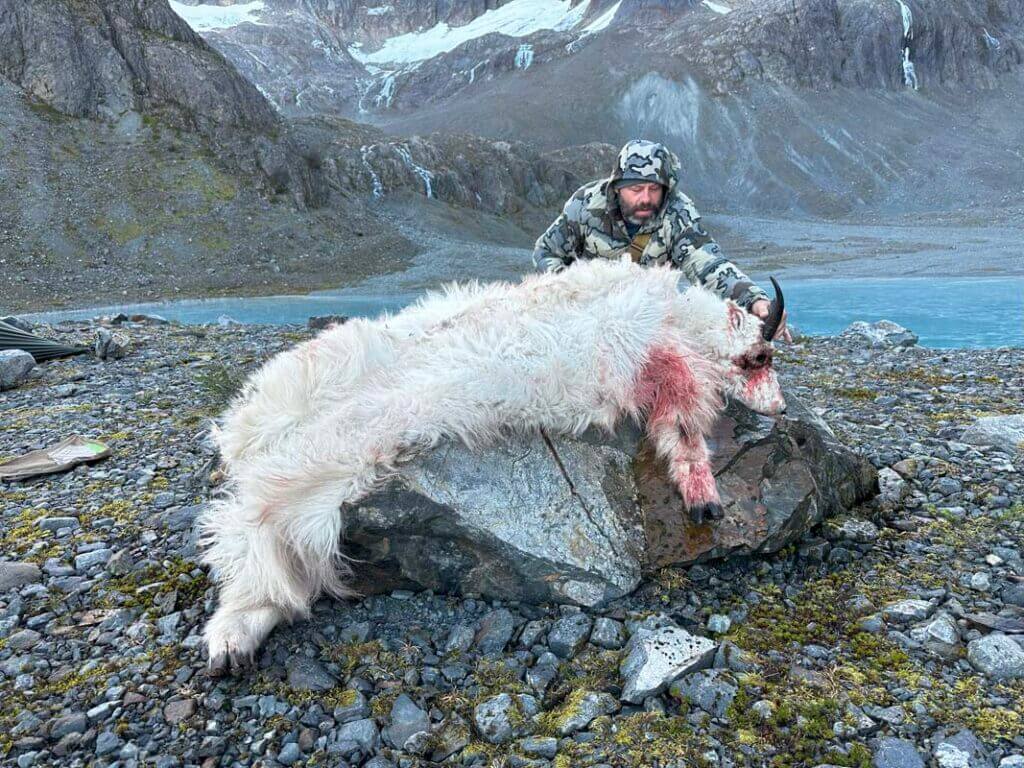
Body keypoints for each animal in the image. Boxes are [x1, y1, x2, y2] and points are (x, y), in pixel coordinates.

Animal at [203, 257, 786, 671]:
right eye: (759, 357)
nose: (780, 407)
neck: (680, 317)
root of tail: (254, 433)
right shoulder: (659, 361)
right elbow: (684, 426)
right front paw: (706, 499)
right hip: (333, 454)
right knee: (253, 522)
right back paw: (232, 637)